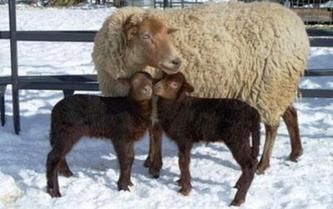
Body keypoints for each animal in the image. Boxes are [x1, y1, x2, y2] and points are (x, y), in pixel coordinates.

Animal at [91, 1, 308, 174]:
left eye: (166, 34)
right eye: (145, 36)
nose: (176, 62)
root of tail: (297, 24)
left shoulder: (156, 97)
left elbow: (155, 131)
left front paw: (154, 166)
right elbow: (153, 132)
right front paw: (149, 161)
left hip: (270, 86)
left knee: (272, 127)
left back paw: (263, 164)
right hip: (279, 86)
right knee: (290, 114)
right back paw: (295, 153)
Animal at [153, 72, 260, 207]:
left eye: (174, 84)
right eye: (162, 78)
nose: (156, 88)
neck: (178, 107)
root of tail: (253, 113)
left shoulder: (184, 138)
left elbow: (183, 162)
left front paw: (185, 189)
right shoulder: (183, 141)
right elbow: (183, 160)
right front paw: (181, 182)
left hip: (237, 138)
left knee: (249, 164)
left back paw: (238, 200)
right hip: (244, 137)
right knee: (252, 161)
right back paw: (238, 185)